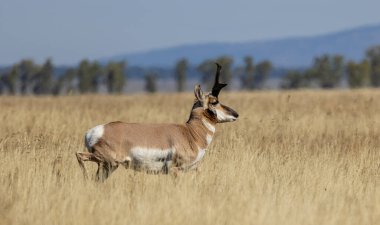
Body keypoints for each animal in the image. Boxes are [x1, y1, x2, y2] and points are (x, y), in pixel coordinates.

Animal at [75, 62, 239, 181]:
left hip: (107, 166)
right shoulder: (175, 171)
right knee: (79, 155)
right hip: (107, 161)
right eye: (215, 101)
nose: (236, 114)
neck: (190, 133)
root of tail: (91, 132)